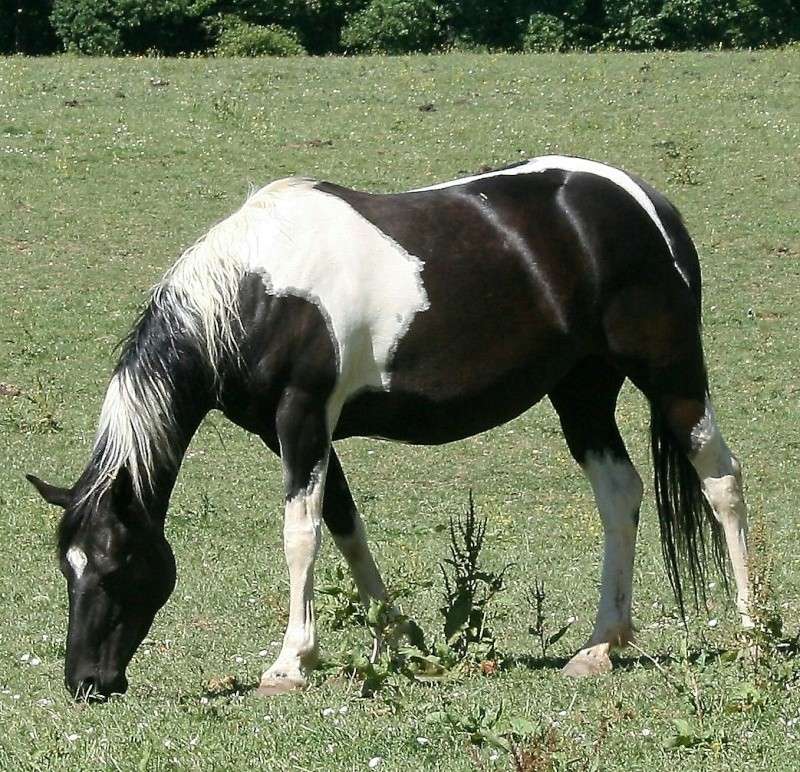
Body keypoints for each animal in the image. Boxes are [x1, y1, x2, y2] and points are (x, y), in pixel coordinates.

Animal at [25, 155, 752, 700]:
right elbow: (346, 528)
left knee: (720, 481)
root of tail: (644, 201)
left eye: (116, 566)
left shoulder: (301, 418)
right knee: (620, 495)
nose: (86, 682)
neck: (256, 292)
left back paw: (749, 634)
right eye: (68, 567)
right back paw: (600, 646)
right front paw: (401, 642)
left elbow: (301, 535)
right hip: (582, 392)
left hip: (670, 374)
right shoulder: (296, 431)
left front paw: (290, 664)